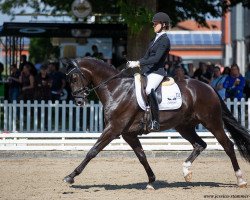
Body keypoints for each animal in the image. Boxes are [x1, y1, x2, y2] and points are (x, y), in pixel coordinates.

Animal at [61, 57, 250, 189]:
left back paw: (240, 179)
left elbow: (92, 151)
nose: (79, 102)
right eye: (69, 79)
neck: (116, 89)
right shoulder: (128, 133)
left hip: (212, 122)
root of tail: (209, 87)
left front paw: (70, 176)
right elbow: (142, 156)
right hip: (184, 126)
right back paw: (186, 171)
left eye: (75, 78)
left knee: (228, 145)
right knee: (200, 144)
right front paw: (151, 181)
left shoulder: (113, 129)